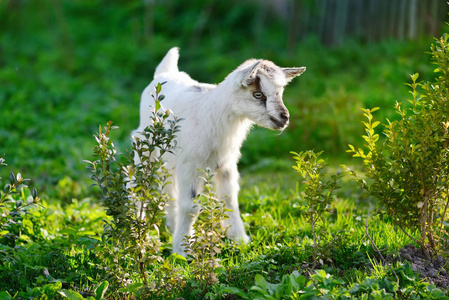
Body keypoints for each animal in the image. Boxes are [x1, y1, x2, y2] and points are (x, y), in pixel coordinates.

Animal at [131, 47, 302, 255]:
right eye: (258, 94)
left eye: (280, 93)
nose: (284, 118)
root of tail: (164, 73)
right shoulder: (190, 164)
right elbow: (190, 206)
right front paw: (181, 251)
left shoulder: (226, 164)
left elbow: (229, 201)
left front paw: (240, 241)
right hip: (144, 144)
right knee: (138, 184)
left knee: (169, 187)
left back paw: (171, 224)